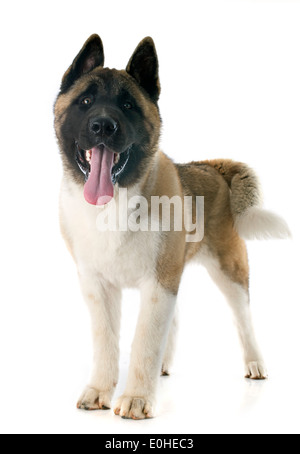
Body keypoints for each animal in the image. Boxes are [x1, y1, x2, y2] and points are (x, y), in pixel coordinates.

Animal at [54, 33, 290, 420]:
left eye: (128, 105)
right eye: (85, 101)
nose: (102, 125)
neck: (116, 203)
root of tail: (211, 166)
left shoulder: (158, 282)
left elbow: (144, 340)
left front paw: (136, 398)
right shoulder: (98, 285)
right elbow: (107, 341)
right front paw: (100, 390)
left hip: (229, 269)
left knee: (244, 318)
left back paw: (255, 363)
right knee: (175, 319)